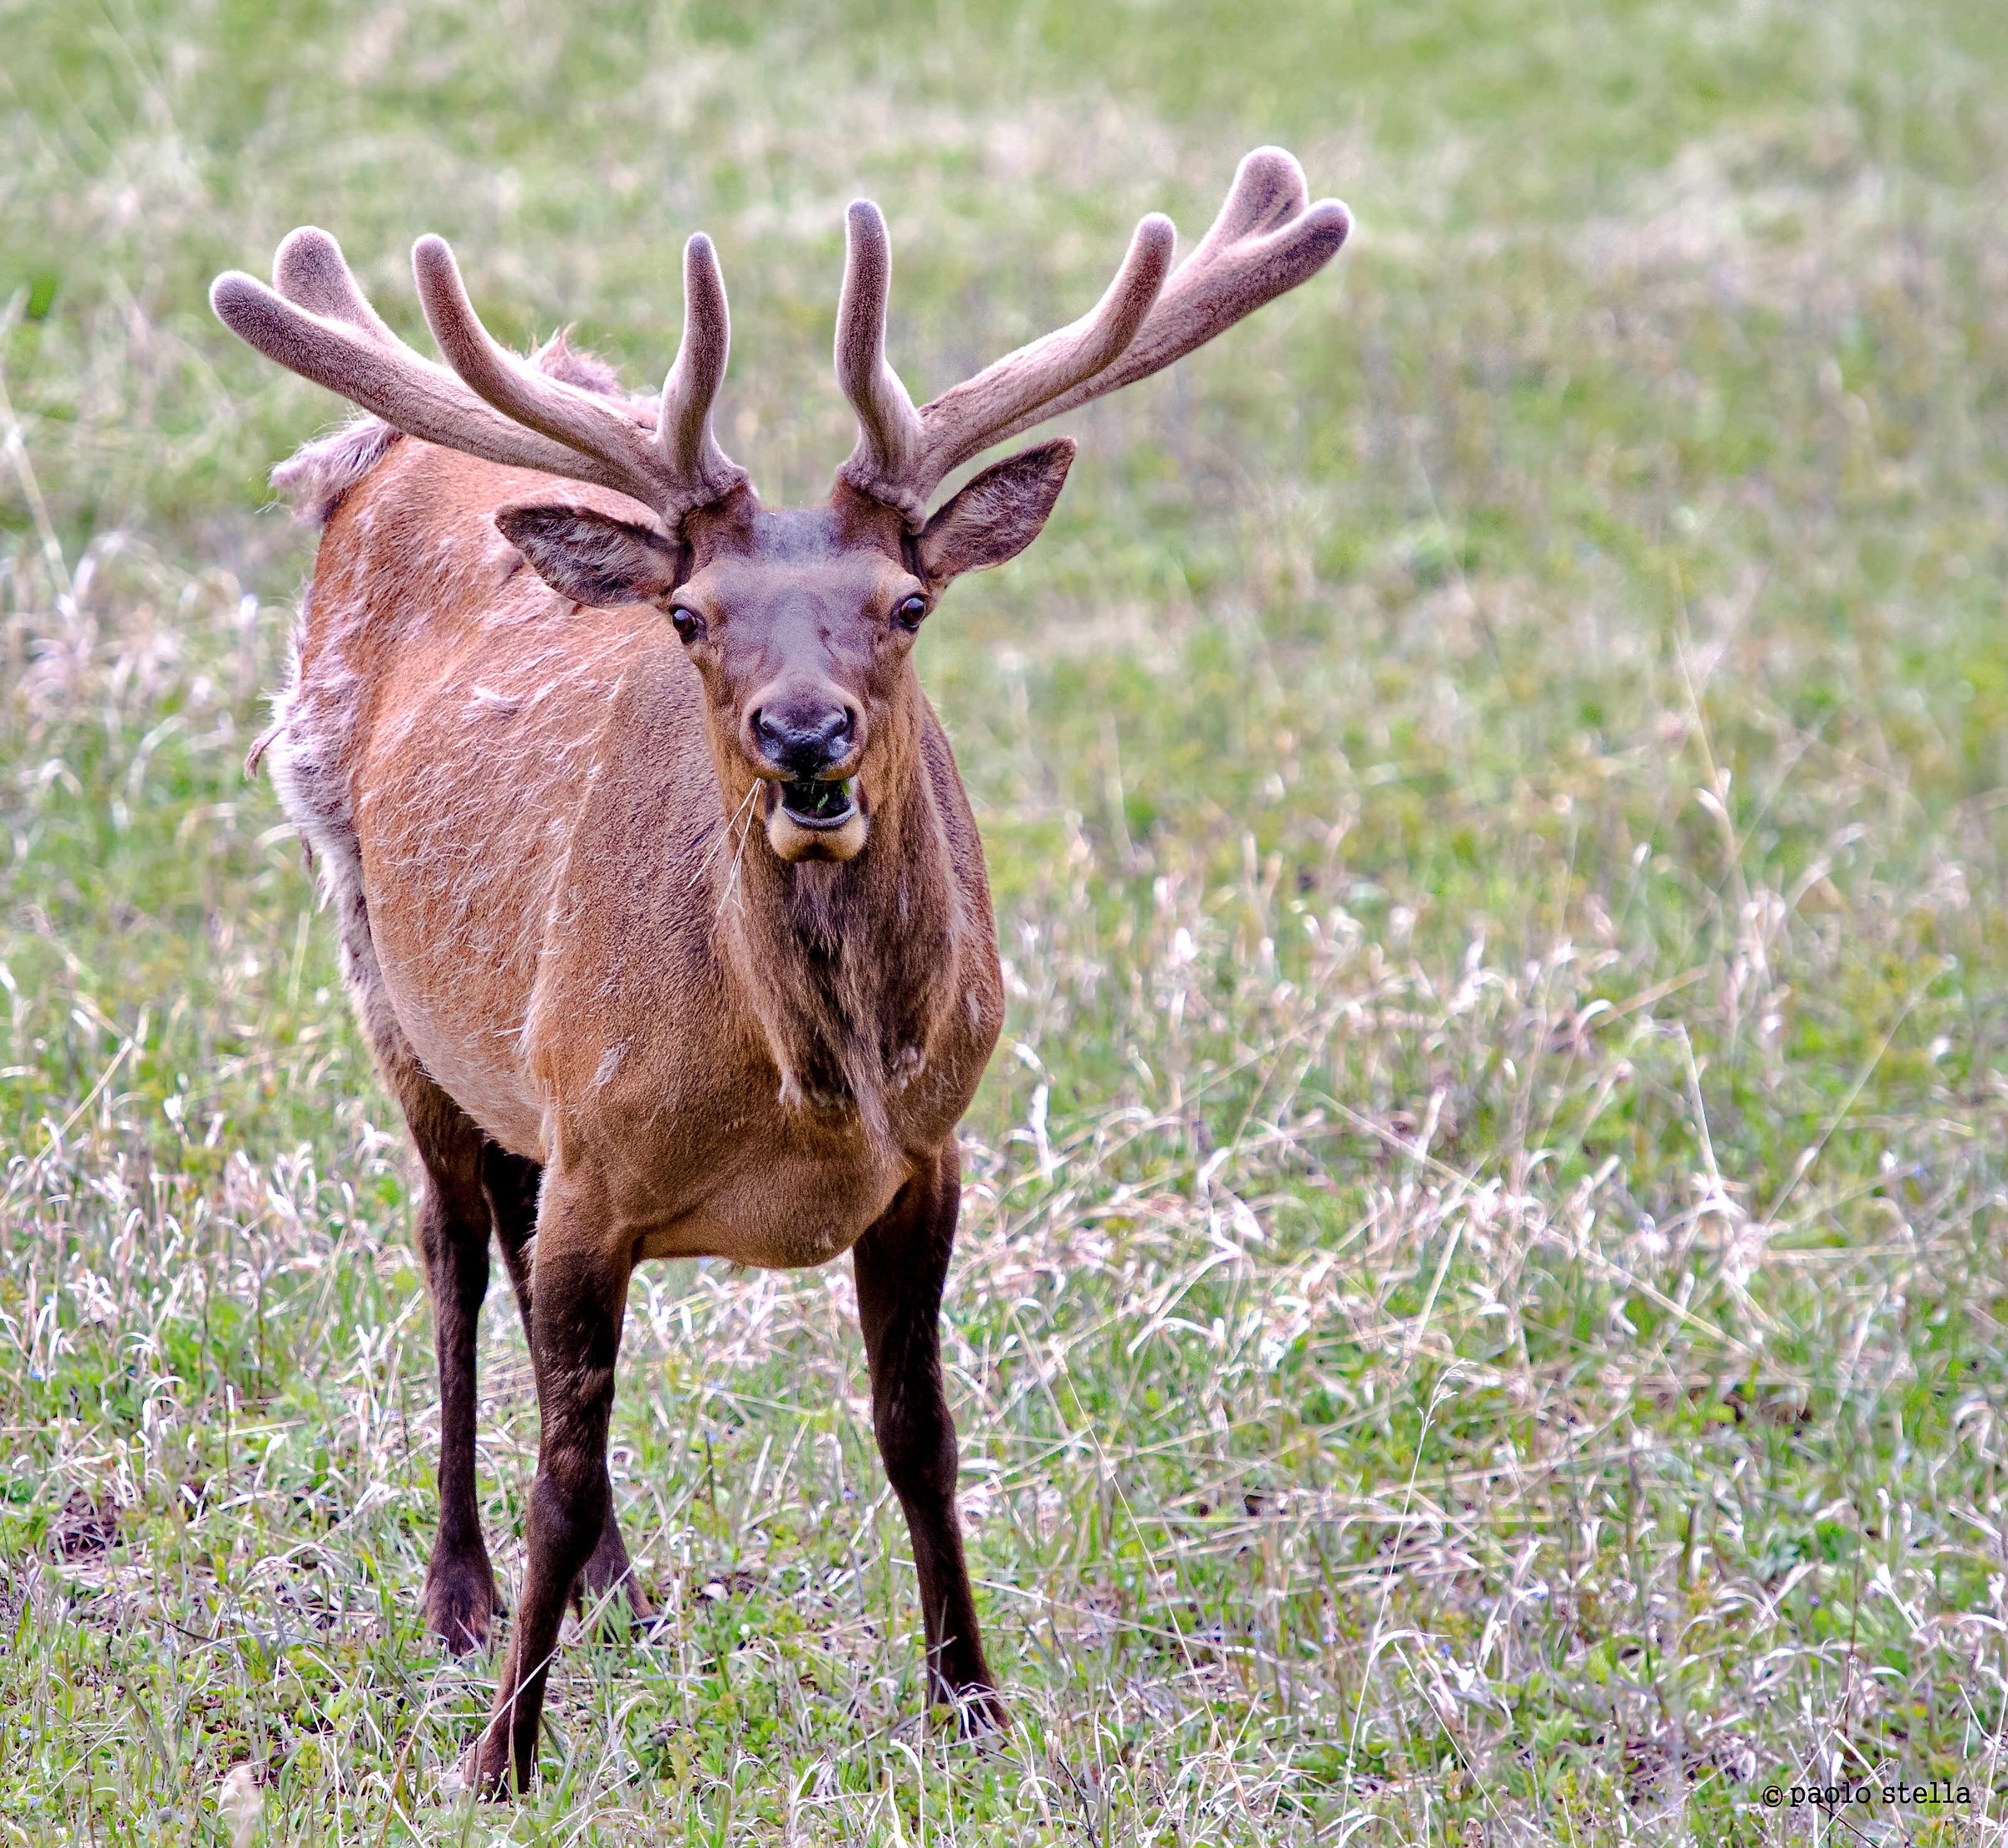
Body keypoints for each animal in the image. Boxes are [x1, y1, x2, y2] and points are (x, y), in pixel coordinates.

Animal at [209, 147, 1349, 1792]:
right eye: (692, 616)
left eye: (908, 602)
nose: (805, 736)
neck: (805, 1087)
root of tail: (365, 459)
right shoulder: (598, 1151)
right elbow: (559, 1457)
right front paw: (503, 1753)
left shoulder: (928, 1153)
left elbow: (917, 1432)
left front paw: (973, 1703)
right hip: (374, 954)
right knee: (451, 1250)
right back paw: (461, 1592)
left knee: (503, 1248)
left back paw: (623, 1590)